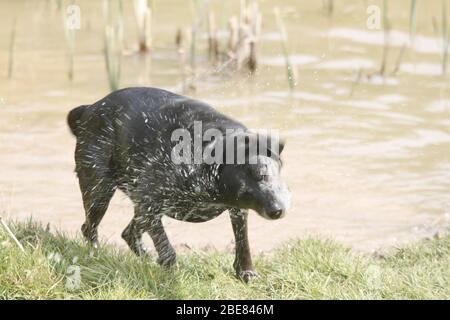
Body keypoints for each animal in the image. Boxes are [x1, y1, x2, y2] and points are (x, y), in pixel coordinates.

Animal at [68, 86, 290, 282]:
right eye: (258, 175)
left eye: (265, 173)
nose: (277, 210)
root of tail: (88, 109)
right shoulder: (150, 205)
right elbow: (167, 250)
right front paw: (171, 271)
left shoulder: (237, 209)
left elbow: (243, 241)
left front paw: (246, 271)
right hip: (99, 192)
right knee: (89, 228)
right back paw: (97, 256)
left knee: (128, 233)